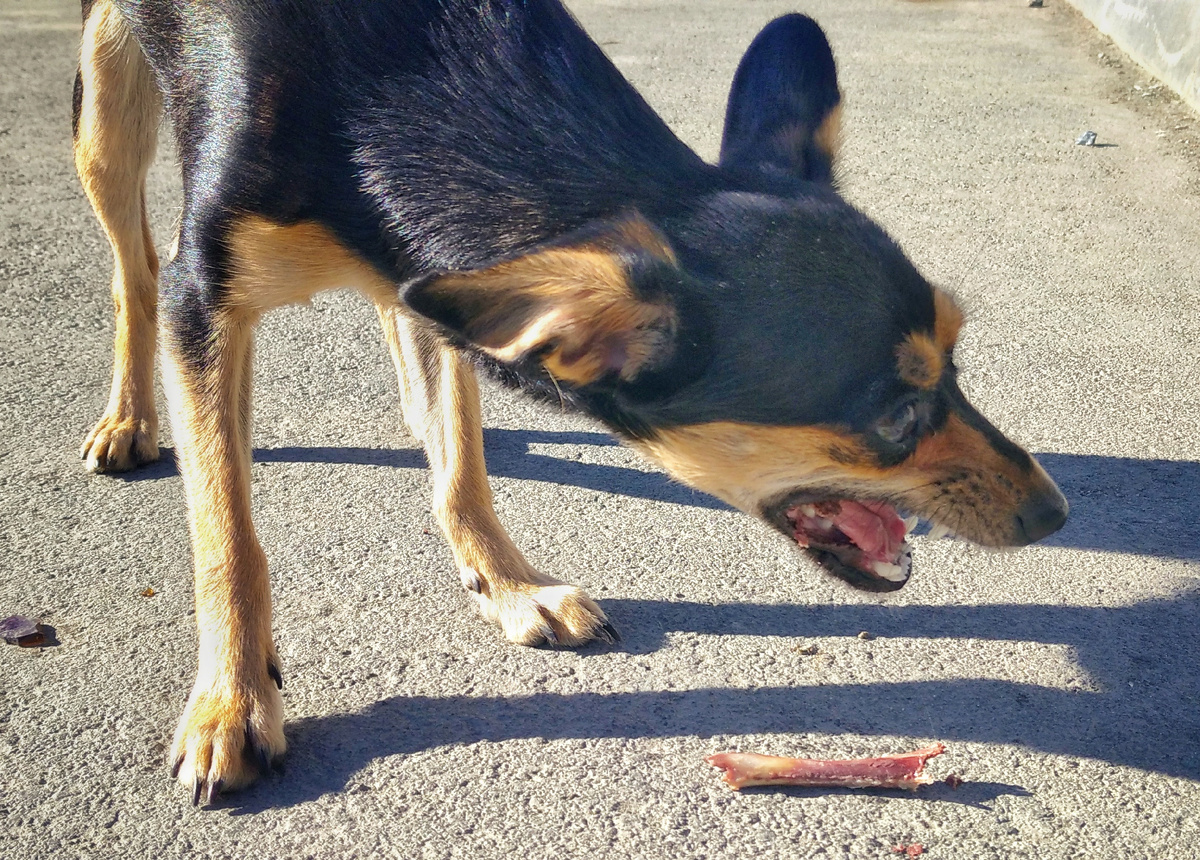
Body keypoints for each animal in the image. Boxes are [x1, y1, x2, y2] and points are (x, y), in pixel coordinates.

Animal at [72, 1, 1070, 806]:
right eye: (895, 418)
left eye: (957, 358)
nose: (1055, 514)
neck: (400, 84)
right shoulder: (209, 299)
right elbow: (227, 533)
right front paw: (232, 702)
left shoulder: (433, 270)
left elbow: (462, 458)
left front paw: (506, 581)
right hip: (106, 111)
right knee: (134, 270)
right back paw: (129, 417)